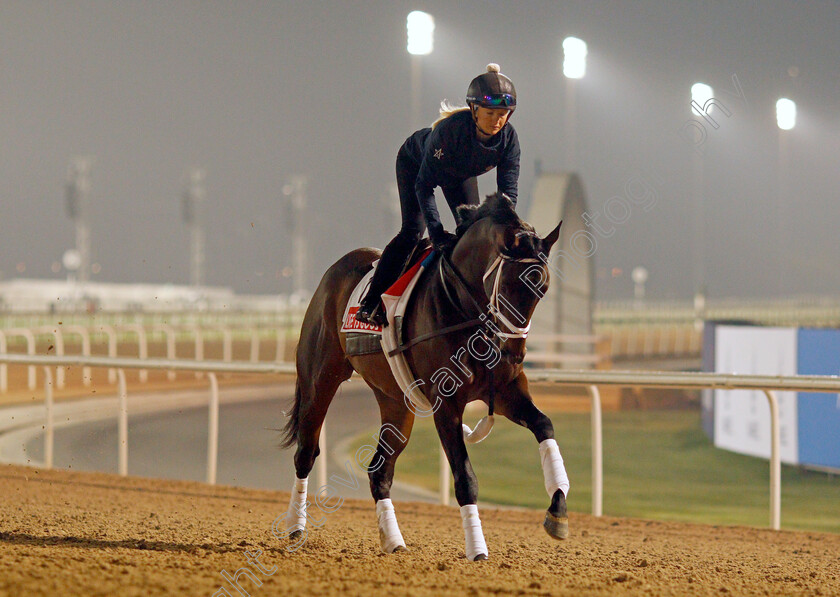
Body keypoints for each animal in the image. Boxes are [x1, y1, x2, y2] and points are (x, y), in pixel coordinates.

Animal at [278, 192, 568, 560]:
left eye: (541, 288)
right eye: (509, 284)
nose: (514, 353)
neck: (464, 308)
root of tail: (333, 272)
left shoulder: (504, 391)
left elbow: (545, 425)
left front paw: (558, 510)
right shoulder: (446, 402)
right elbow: (465, 477)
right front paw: (477, 549)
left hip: (396, 401)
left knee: (379, 470)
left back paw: (393, 541)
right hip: (320, 378)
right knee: (305, 452)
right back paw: (295, 527)